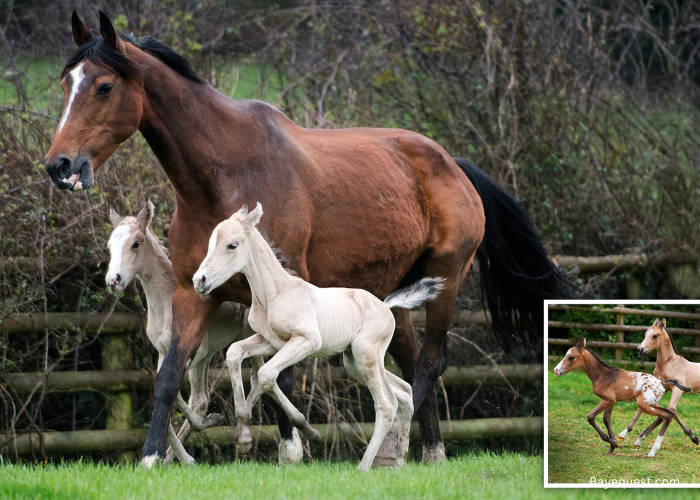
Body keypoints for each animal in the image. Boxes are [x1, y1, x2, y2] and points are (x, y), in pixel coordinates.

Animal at [192, 203, 444, 470]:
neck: (275, 294)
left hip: (365, 355)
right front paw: (243, 436)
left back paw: (364, 466)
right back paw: (398, 464)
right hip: (355, 362)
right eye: (211, 242)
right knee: (404, 392)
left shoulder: (307, 341)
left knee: (386, 406)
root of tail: (386, 306)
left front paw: (307, 430)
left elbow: (266, 374)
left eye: (232, 245)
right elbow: (235, 354)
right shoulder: (269, 341)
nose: (200, 281)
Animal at [630, 318, 699, 446]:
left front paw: (694, 438)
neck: (669, 364)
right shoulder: (663, 387)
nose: (640, 350)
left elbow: (671, 409)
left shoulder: (678, 389)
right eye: (645, 334)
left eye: (655, 336)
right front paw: (629, 432)